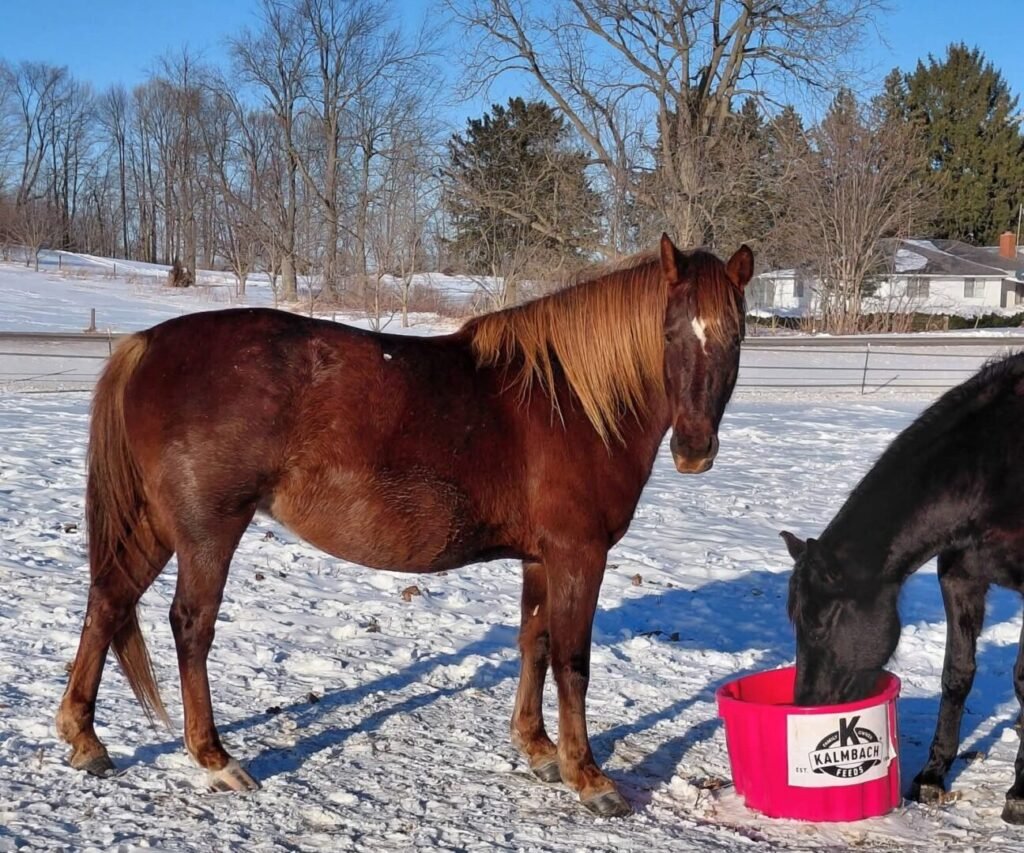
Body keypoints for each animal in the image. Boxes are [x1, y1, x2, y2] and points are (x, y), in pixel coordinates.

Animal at [56, 234, 753, 817]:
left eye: (735, 335)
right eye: (670, 332)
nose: (694, 450)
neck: (569, 400)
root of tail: (149, 344)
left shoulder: (540, 557)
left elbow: (535, 643)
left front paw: (537, 749)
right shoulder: (578, 553)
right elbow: (573, 661)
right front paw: (589, 776)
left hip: (157, 522)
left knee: (110, 598)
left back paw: (84, 738)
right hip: (207, 529)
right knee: (190, 626)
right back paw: (214, 758)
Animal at [782, 352, 1024, 823]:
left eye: (821, 623)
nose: (807, 703)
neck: (998, 464)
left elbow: (1023, 679)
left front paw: (1021, 791)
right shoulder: (960, 578)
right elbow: (956, 675)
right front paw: (931, 776)